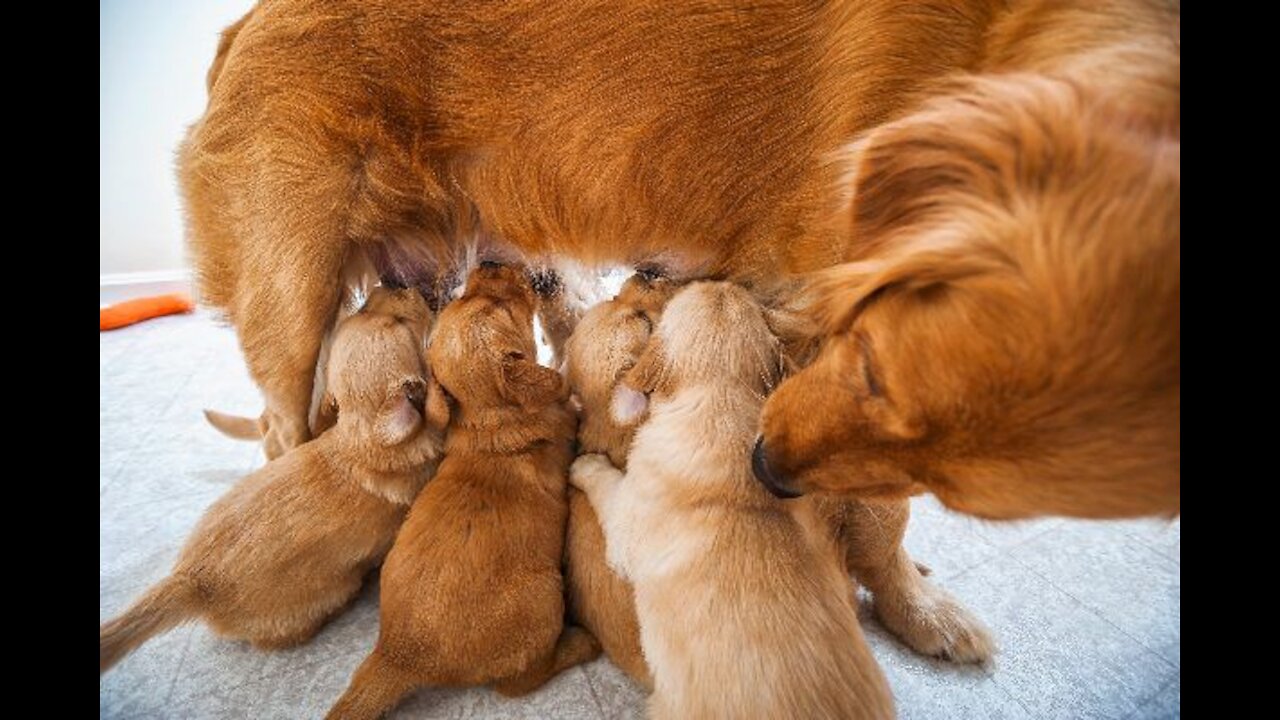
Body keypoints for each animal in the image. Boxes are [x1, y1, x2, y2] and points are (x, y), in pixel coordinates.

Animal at [98, 286, 445, 671]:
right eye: (398, 323)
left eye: (368, 307)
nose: (396, 285)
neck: (363, 433)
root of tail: (192, 580)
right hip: (310, 601)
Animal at [325, 263, 593, 717]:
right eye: (503, 307)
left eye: (464, 295)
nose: (488, 263)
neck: (489, 420)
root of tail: (397, 655)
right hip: (544, 598)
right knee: (520, 683)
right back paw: (579, 644)